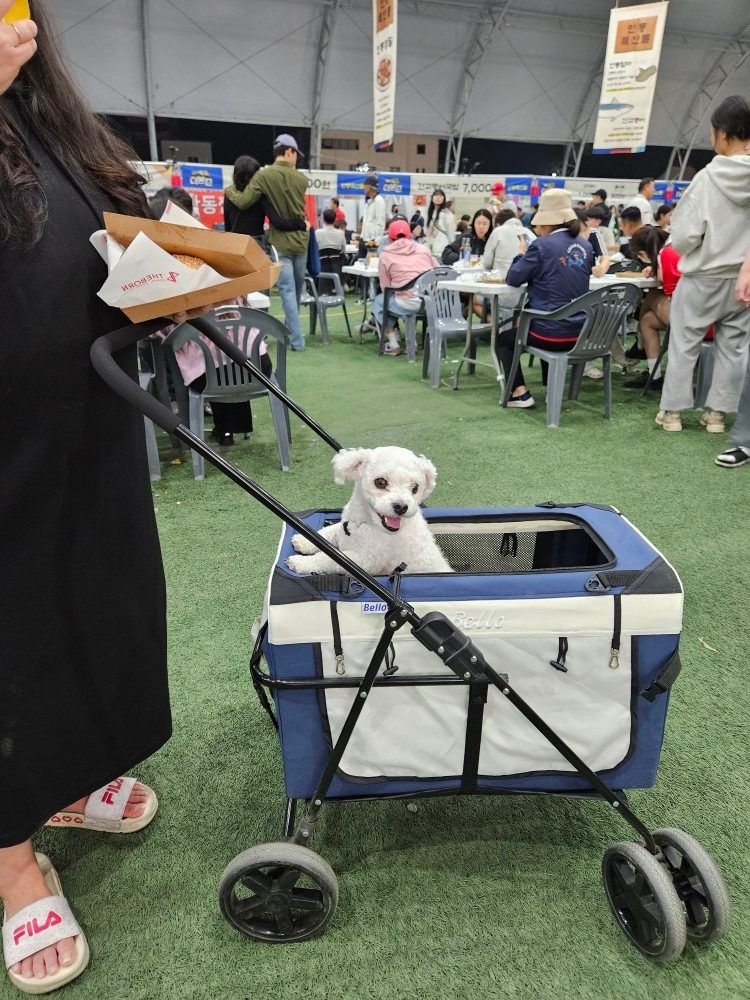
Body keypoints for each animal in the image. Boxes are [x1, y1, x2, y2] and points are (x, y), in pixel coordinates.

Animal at [286, 448, 452, 580]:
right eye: (381, 482)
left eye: (415, 488)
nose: (401, 507)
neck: (366, 524)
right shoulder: (343, 529)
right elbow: (328, 531)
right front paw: (304, 540)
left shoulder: (366, 561)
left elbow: (328, 559)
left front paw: (300, 562)